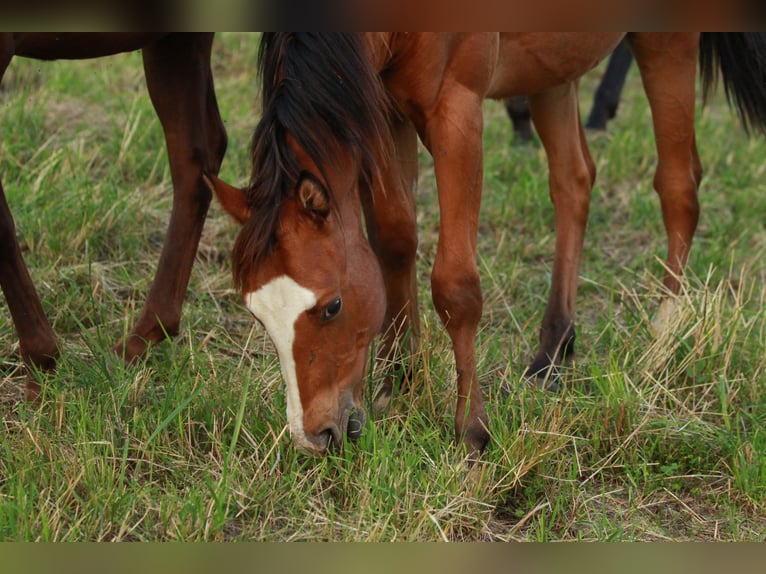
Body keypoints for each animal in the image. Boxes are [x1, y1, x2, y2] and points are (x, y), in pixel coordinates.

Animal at [208, 32, 766, 460]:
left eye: (332, 307)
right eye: (257, 315)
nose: (315, 435)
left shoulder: (456, 111)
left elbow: (455, 287)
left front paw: (470, 431)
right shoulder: (382, 108)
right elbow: (394, 238)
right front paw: (401, 383)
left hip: (666, 41)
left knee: (678, 187)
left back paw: (661, 337)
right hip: (553, 68)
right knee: (574, 180)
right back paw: (552, 349)